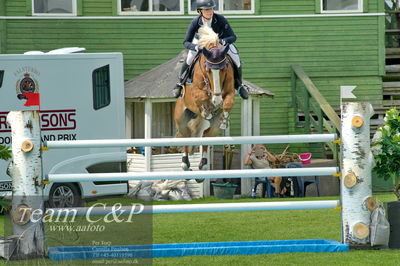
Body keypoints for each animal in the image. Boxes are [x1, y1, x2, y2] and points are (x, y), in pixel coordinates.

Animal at [174, 25, 236, 177]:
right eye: (207, 70)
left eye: (224, 68)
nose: (217, 100)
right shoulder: (195, 92)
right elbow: (202, 98)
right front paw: (206, 111)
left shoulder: (230, 92)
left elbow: (228, 103)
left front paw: (224, 120)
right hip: (181, 119)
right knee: (186, 136)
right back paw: (185, 164)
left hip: (213, 128)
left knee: (206, 136)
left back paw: (203, 166)